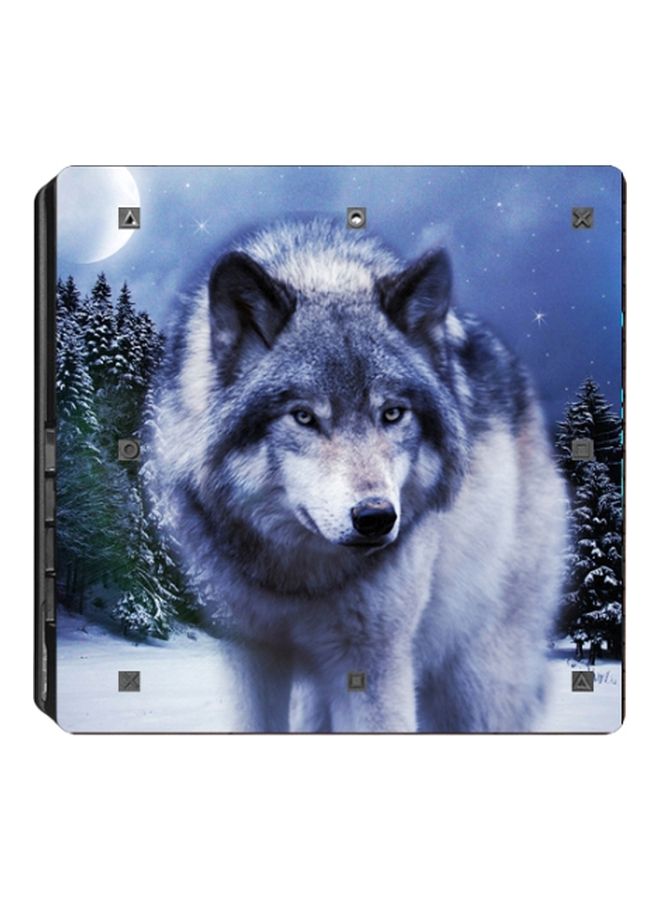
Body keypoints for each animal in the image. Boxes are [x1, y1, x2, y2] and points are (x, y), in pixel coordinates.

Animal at [149, 217, 567, 733]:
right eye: (304, 417)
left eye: (392, 413)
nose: (376, 517)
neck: (297, 579)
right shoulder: (249, 652)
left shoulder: (373, 660)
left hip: (480, 684)